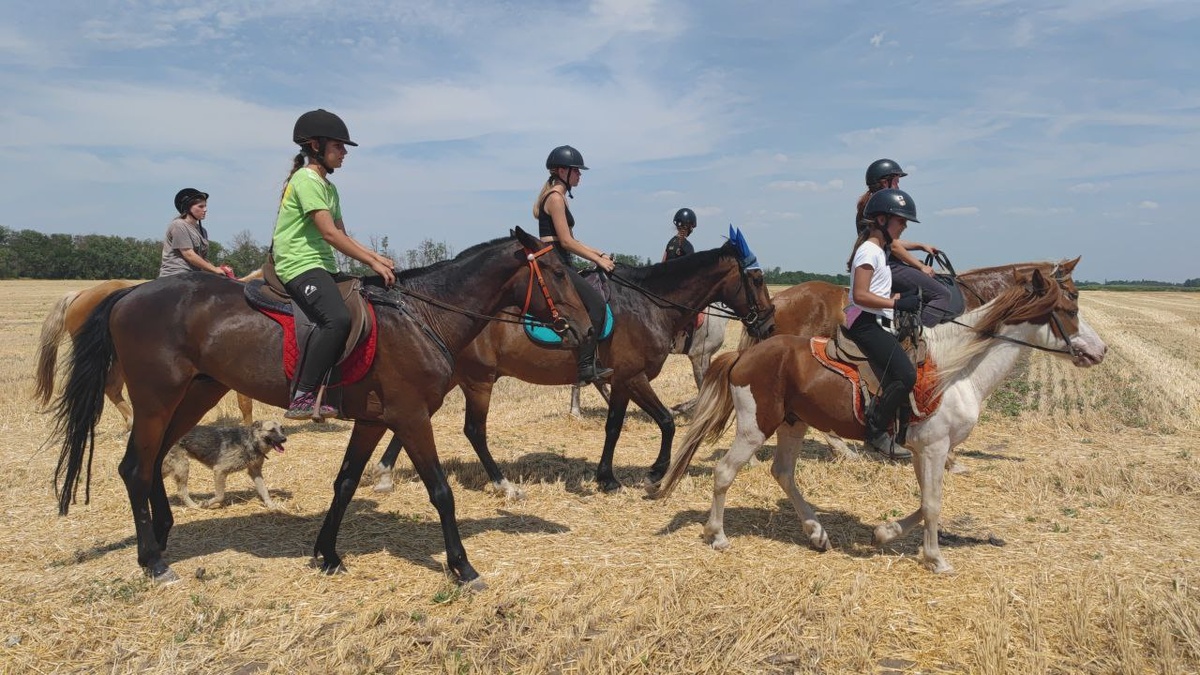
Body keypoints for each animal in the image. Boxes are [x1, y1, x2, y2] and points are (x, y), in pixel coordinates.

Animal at [369, 236, 777, 494]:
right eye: (756, 278)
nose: (770, 325)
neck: (649, 303)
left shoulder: (622, 381)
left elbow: (614, 427)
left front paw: (607, 477)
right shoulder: (635, 376)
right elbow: (666, 421)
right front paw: (655, 472)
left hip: (455, 377)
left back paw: (385, 474)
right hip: (478, 381)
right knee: (472, 430)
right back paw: (502, 485)